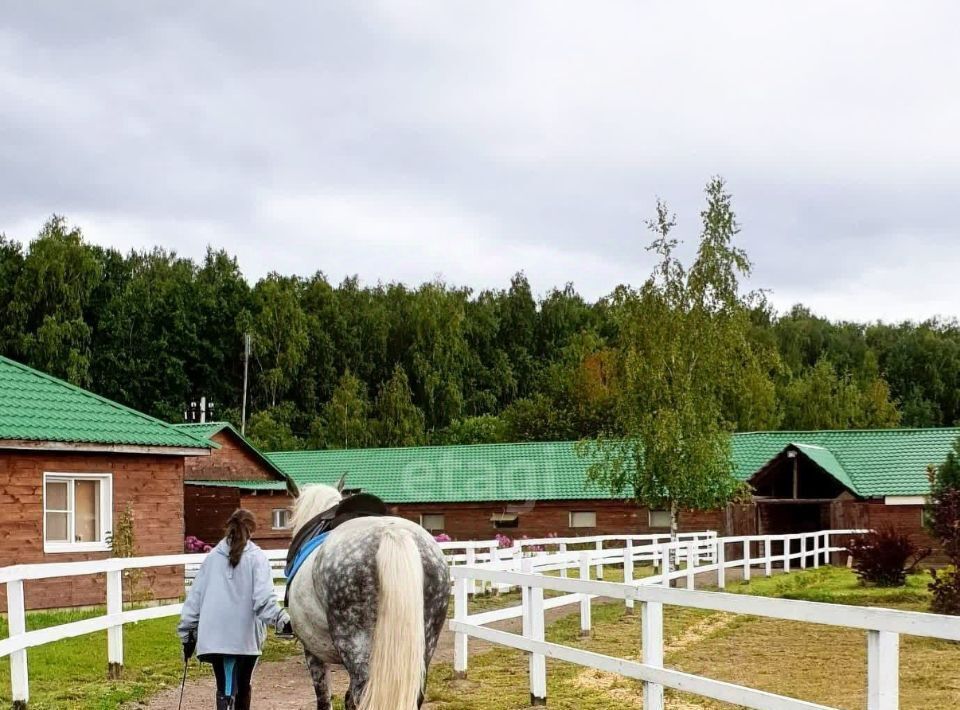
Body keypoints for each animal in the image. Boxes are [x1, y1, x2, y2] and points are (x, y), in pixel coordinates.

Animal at [286, 486, 452, 710]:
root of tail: (393, 534)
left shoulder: (312, 652)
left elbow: (324, 698)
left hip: (355, 643)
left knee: (359, 696)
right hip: (425, 643)